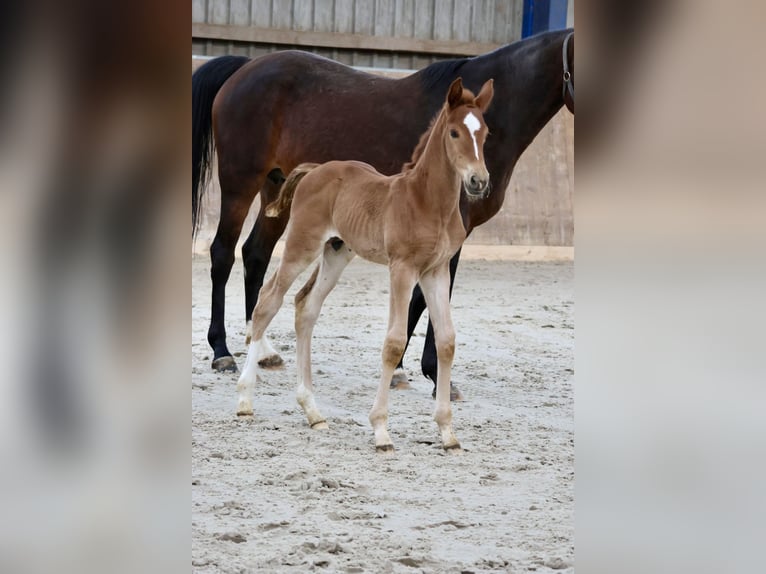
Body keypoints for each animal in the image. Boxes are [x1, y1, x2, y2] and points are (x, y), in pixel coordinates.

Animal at [192, 29, 576, 398]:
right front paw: (426, 372)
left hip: (276, 189)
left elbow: (425, 298)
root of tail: (246, 66)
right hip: (240, 185)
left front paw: (410, 369)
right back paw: (221, 351)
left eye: (485, 132)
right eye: (455, 133)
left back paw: (263, 348)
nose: (478, 181)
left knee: (256, 255)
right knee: (223, 254)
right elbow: (424, 297)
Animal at [237, 77, 496, 454]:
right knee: (269, 300)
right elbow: (394, 342)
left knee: (306, 307)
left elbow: (446, 341)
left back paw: (313, 412)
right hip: (302, 245)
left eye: (485, 134)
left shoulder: (436, 270)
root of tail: (315, 170)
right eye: (453, 133)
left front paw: (448, 433)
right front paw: (381, 431)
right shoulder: (402, 268)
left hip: (336, 252)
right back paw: (245, 401)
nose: (479, 181)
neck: (427, 202)